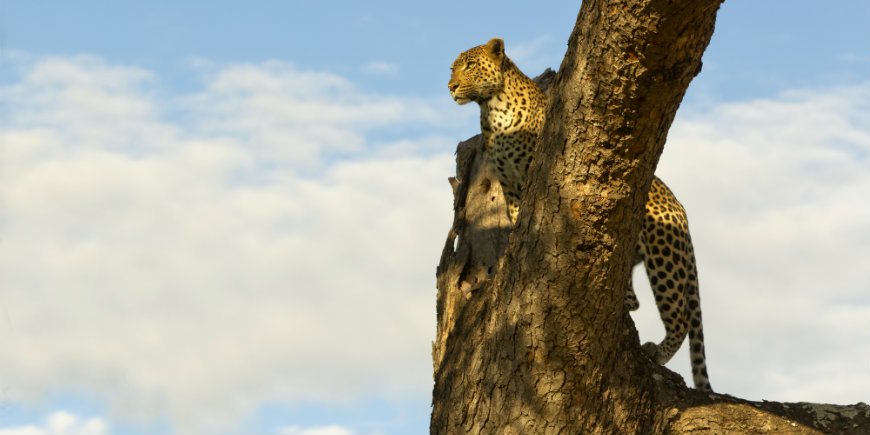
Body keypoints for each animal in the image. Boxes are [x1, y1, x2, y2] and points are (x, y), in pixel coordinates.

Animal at [450, 37, 716, 392]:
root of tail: (680, 208)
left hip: (665, 256)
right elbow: (516, 220)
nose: (451, 86)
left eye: (469, 66)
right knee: (636, 299)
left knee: (681, 316)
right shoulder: (510, 188)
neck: (491, 109)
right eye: (452, 69)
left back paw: (658, 352)